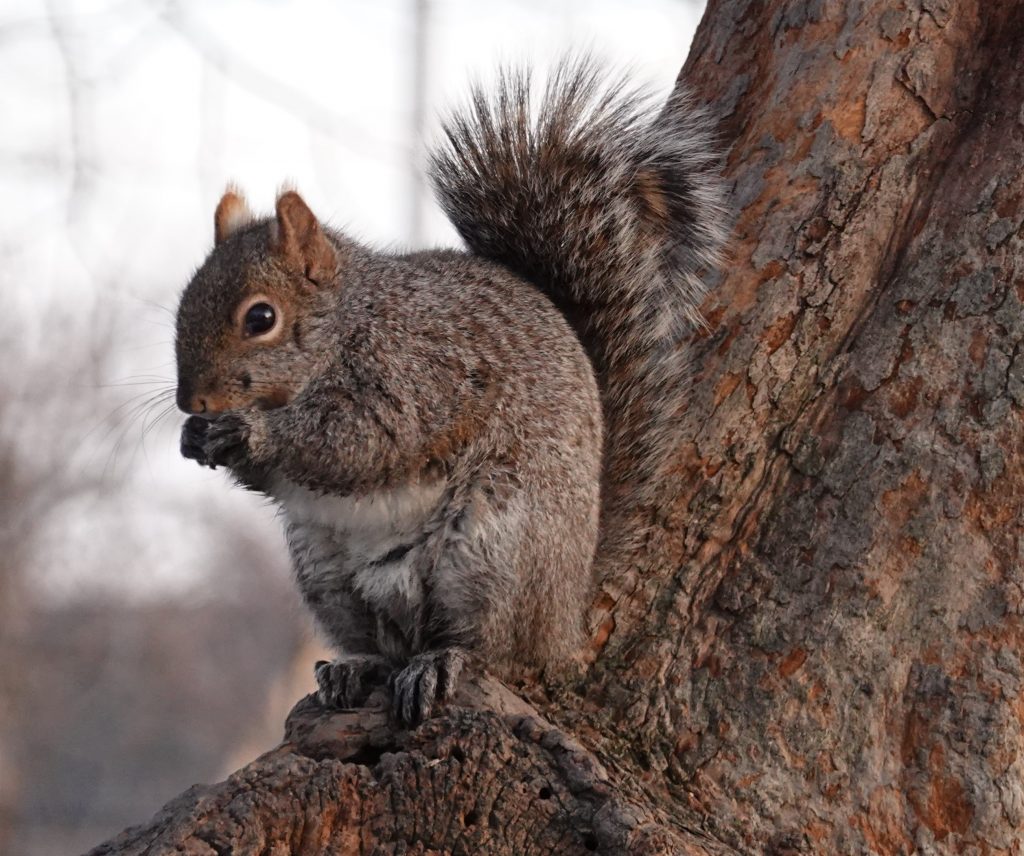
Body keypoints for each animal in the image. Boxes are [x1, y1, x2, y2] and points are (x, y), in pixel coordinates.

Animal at [175, 59, 727, 726]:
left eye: (261, 318)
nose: (192, 403)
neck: (350, 322)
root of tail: (564, 618)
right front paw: (198, 439)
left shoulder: (418, 375)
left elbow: (361, 441)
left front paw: (252, 432)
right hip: (328, 576)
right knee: (385, 646)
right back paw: (357, 668)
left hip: (496, 550)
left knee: (492, 649)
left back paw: (446, 662)